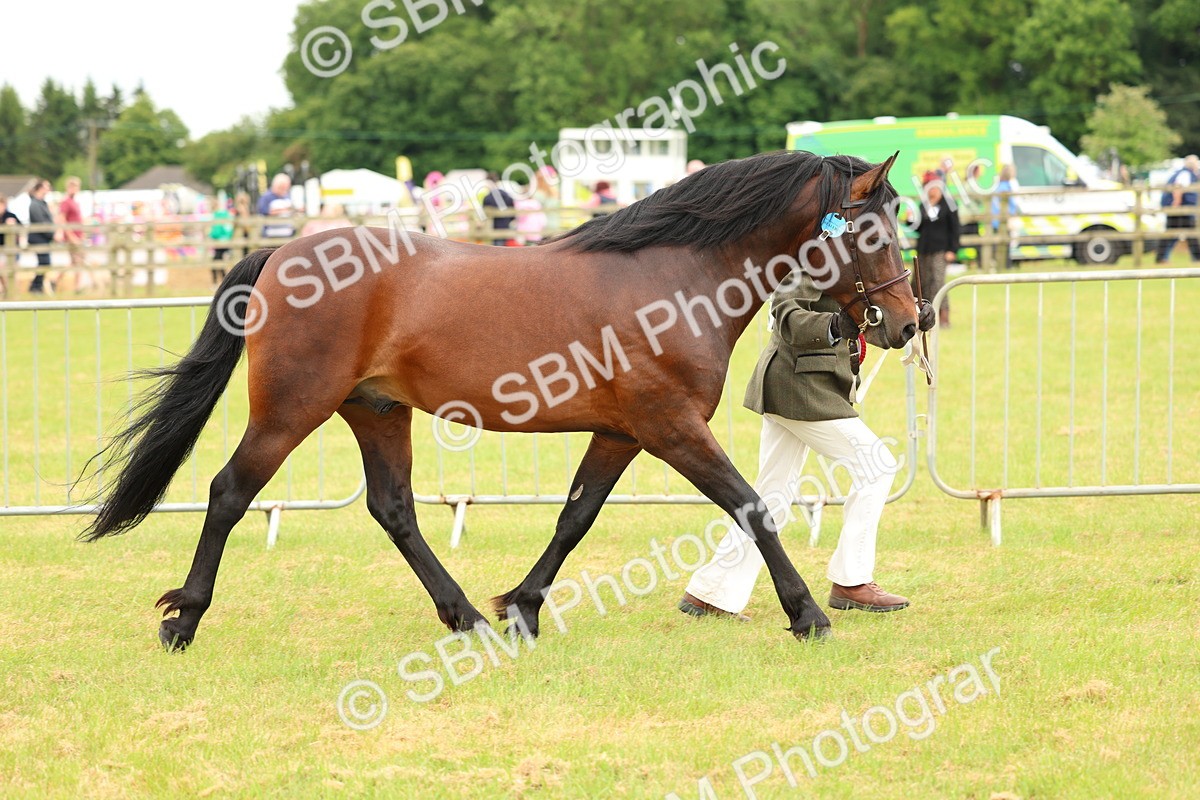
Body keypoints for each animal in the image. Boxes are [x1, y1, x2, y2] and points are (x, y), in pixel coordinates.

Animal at [79, 150, 918, 650]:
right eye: (871, 231)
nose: (909, 322)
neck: (675, 277)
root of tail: (284, 248)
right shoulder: (671, 426)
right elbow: (750, 505)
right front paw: (808, 614)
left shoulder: (624, 432)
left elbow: (576, 517)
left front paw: (522, 605)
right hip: (289, 412)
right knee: (228, 492)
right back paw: (184, 620)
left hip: (376, 411)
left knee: (394, 509)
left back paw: (467, 617)